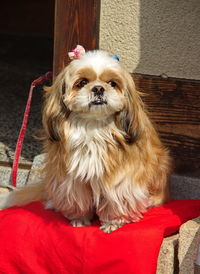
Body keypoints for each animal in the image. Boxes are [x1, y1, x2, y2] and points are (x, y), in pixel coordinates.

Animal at [0, 46, 172, 232]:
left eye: (112, 83)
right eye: (82, 82)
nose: (98, 88)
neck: (93, 127)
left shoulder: (121, 177)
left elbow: (116, 199)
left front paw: (113, 222)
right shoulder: (72, 179)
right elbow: (78, 199)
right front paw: (80, 219)